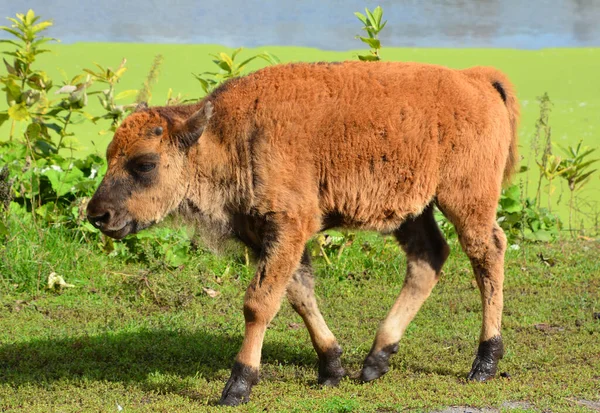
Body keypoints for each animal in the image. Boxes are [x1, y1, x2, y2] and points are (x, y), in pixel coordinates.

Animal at [86, 59, 516, 404]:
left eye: (144, 163)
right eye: (108, 156)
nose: (97, 214)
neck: (228, 136)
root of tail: (475, 79)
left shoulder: (287, 227)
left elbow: (259, 303)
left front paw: (237, 387)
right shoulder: (269, 237)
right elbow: (298, 295)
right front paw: (332, 369)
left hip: (466, 199)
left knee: (487, 253)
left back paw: (484, 363)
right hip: (413, 210)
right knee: (429, 258)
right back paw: (375, 361)